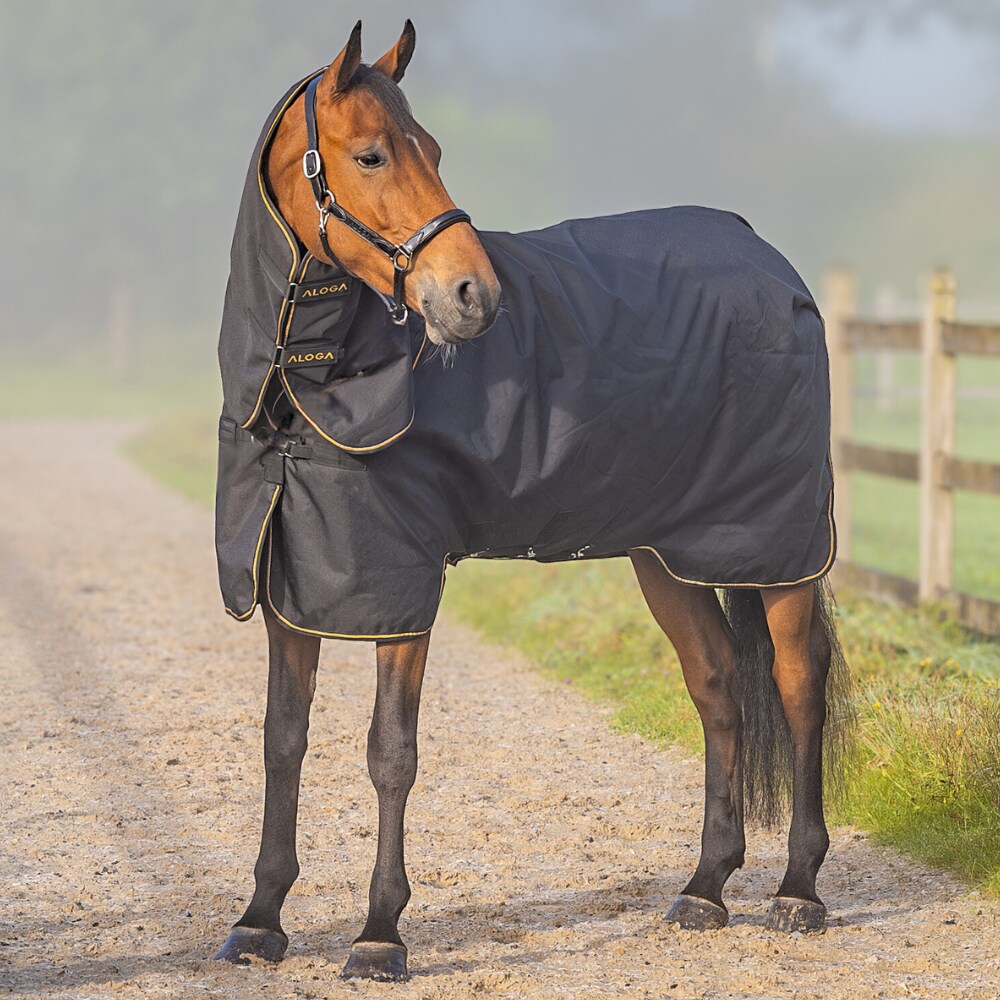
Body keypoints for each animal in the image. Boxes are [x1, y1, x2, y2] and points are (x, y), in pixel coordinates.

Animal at [213, 19, 852, 980]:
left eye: (434, 149)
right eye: (370, 154)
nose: (474, 296)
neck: (308, 386)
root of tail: (772, 264)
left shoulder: (402, 591)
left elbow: (390, 753)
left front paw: (379, 934)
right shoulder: (298, 579)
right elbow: (282, 739)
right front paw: (260, 920)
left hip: (778, 552)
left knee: (797, 684)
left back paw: (798, 892)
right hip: (667, 557)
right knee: (716, 686)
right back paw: (705, 889)